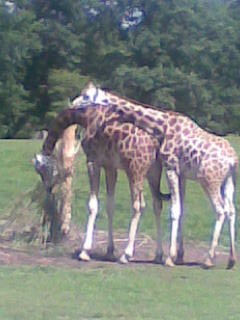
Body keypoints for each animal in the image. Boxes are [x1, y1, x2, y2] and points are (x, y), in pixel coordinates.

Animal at [33, 104, 171, 264]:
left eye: (41, 170)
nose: (48, 189)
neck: (85, 117)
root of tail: (156, 142)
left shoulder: (93, 161)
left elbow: (93, 205)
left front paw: (85, 251)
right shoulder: (110, 166)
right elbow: (110, 206)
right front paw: (109, 252)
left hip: (135, 169)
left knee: (139, 205)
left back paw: (126, 254)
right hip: (154, 170)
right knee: (157, 204)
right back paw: (158, 255)